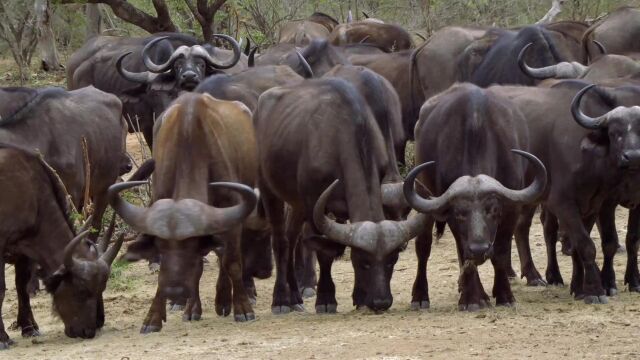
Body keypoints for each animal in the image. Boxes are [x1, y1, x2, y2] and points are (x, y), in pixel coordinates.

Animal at [0, 143, 124, 348]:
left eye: (102, 288)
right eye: (82, 291)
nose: (90, 330)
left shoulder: (24, 248)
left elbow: (22, 285)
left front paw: (29, 328)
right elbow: (1, 289)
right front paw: (3, 337)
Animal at [110, 92, 260, 332]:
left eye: (190, 246)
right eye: (160, 248)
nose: (174, 291)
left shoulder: (231, 216)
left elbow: (232, 263)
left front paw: (243, 308)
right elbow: (195, 269)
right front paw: (157, 316)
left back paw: (225, 300)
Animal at [254, 78, 424, 312]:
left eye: (392, 260)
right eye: (363, 262)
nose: (381, 302)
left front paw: (359, 296)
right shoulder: (314, 205)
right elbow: (325, 251)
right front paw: (326, 300)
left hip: (297, 203)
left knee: (291, 236)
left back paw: (295, 297)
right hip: (269, 189)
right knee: (281, 241)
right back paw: (281, 300)